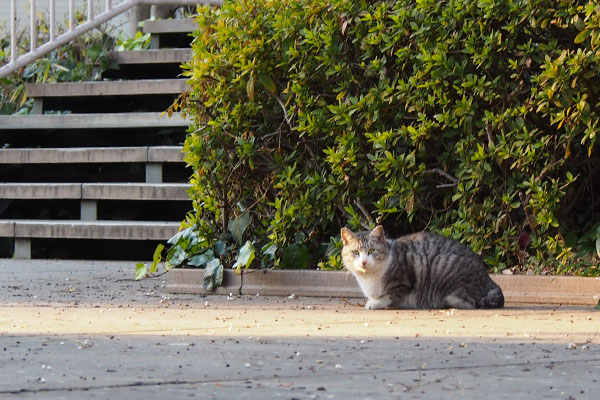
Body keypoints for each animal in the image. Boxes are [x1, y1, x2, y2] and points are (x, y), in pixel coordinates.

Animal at [340, 225, 504, 310]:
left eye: (372, 251)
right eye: (356, 252)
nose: (363, 262)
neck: (369, 278)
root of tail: (488, 278)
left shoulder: (404, 282)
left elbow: (389, 296)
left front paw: (374, 303)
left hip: (444, 266)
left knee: (470, 302)